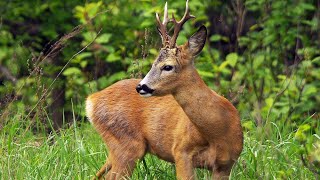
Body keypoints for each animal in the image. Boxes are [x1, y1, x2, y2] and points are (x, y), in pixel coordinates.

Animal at [86, 1, 244, 179]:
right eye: (153, 63)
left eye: (167, 66)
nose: (141, 86)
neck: (218, 132)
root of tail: (91, 100)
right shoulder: (181, 151)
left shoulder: (225, 164)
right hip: (126, 143)